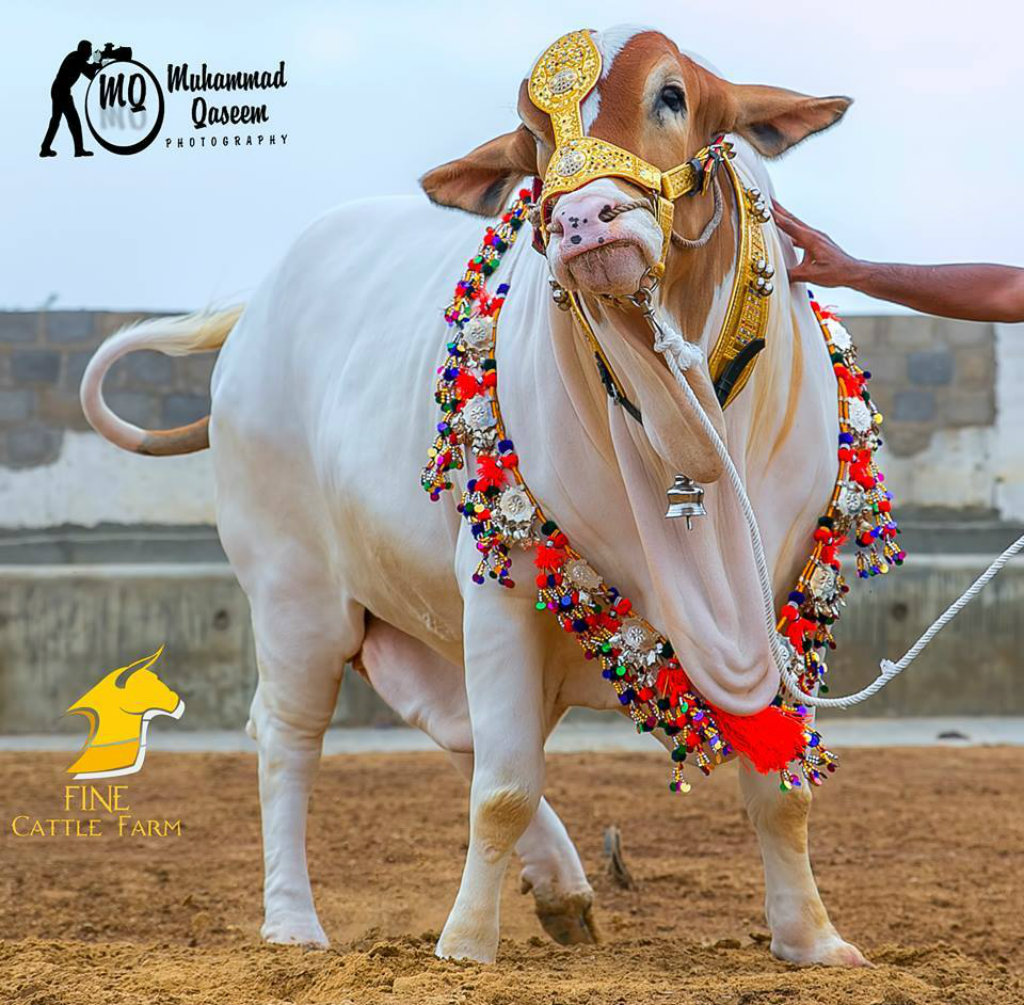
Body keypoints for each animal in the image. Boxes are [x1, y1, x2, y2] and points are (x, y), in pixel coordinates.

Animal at [81, 25, 866, 966]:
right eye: (530, 136)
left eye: (672, 95)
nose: (580, 220)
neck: (687, 430)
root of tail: (254, 314)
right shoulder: (505, 587)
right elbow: (504, 787)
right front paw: (464, 942)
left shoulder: (787, 598)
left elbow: (783, 788)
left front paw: (812, 938)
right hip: (293, 593)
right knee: (289, 735)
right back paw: (295, 920)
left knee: (453, 729)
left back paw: (562, 887)